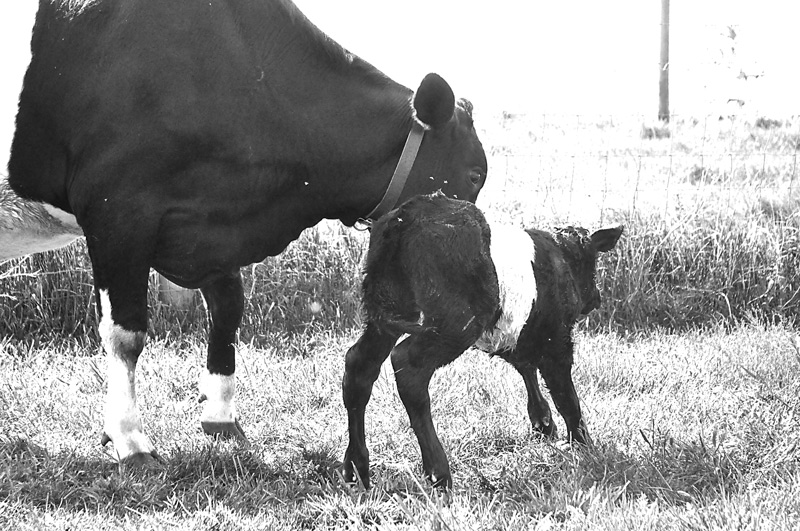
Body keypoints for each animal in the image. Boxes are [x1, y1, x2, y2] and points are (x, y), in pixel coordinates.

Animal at [7, 0, 488, 465]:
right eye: (475, 174)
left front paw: (220, 417)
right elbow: (126, 335)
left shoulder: (205, 230)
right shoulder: (117, 211)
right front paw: (130, 439)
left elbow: (228, 310)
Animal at [342, 193, 622, 488]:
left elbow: (527, 368)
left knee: (359, 365)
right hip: (454, 325)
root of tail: (405, 215)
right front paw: (584, 446)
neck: (563, 258)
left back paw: (357, 466)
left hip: (386, 319)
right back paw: (438, 472)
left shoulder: (521, 336)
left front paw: (543, 423)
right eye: (592, 264)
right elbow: (566, 397)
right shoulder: (556, 340)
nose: (596, 298)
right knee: (408, 366)